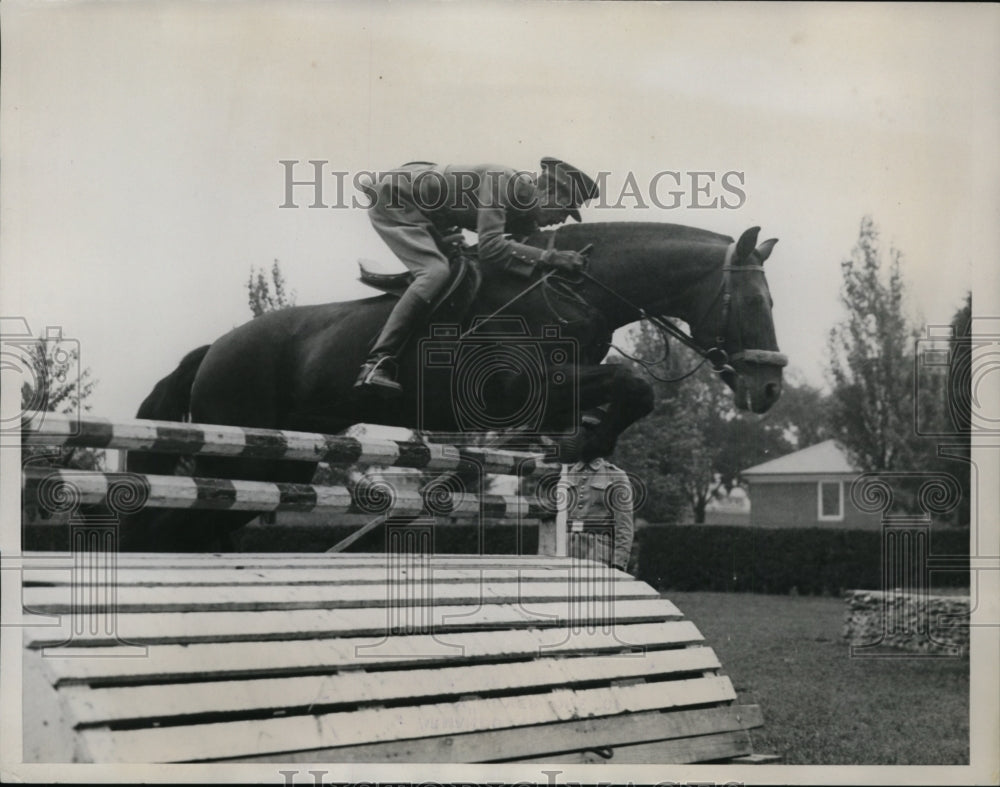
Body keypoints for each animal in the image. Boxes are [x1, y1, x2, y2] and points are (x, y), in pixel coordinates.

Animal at [119, 222, 788, 552]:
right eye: (756, 302)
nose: (770, 390)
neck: (570, 287)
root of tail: (214, 348)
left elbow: (626, 395)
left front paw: (579, 443)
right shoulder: (518, 383)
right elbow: (632, 383)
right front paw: (581, 443)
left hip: (283, 462)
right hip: (239, 452)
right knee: (168, 529)